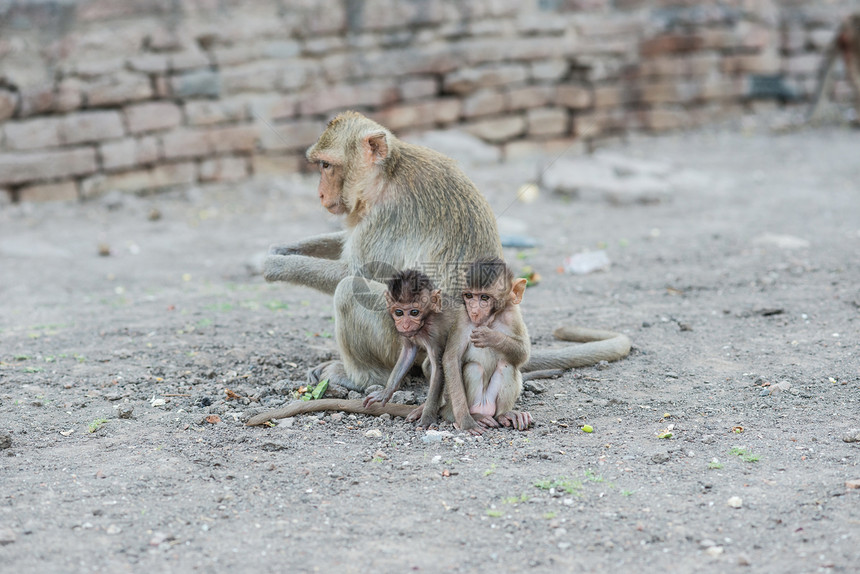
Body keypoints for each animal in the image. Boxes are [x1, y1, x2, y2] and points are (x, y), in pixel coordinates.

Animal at [262, 111, 632, 398]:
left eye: (327, 165)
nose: (320, 194)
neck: (386, 174)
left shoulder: (388, 217)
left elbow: (358, 274)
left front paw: (279, 265)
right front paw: (284, 249)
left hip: (408, 342)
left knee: (349, 292)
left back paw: (362, 379)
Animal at [364, 268, 456, 428]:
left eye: (414, 312)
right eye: (399, 312)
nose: (405, 325)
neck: (425, 322)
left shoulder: (435, 334)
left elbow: (439, 368)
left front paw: (427, 417)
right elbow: (408, 353)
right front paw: (385, 392)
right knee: (427, 366)